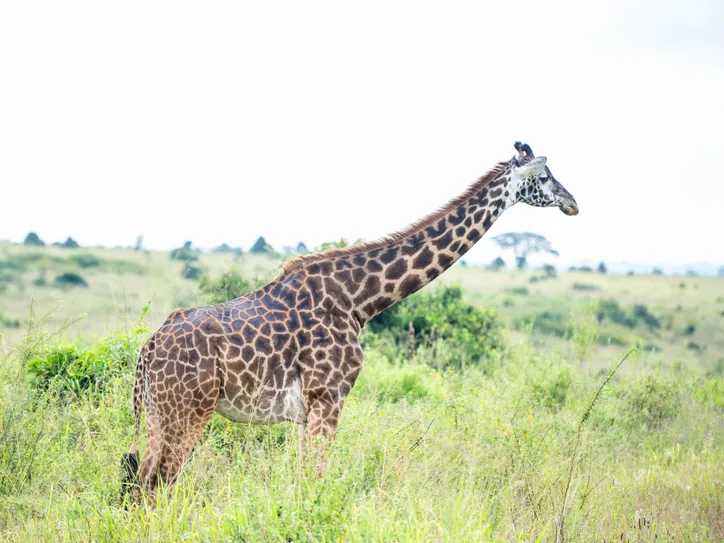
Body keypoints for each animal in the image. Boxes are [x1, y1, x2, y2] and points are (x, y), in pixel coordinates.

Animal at [120, 142, 578, 499]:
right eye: (546, 176)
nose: (574, 203)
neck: (359, 300)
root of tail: (148, 348)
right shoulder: (329, 396)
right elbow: (315, 480)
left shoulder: (308, 410)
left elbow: (304, 478)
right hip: (187, 409)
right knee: (157, 480)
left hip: (160, 411)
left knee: (142, 479)